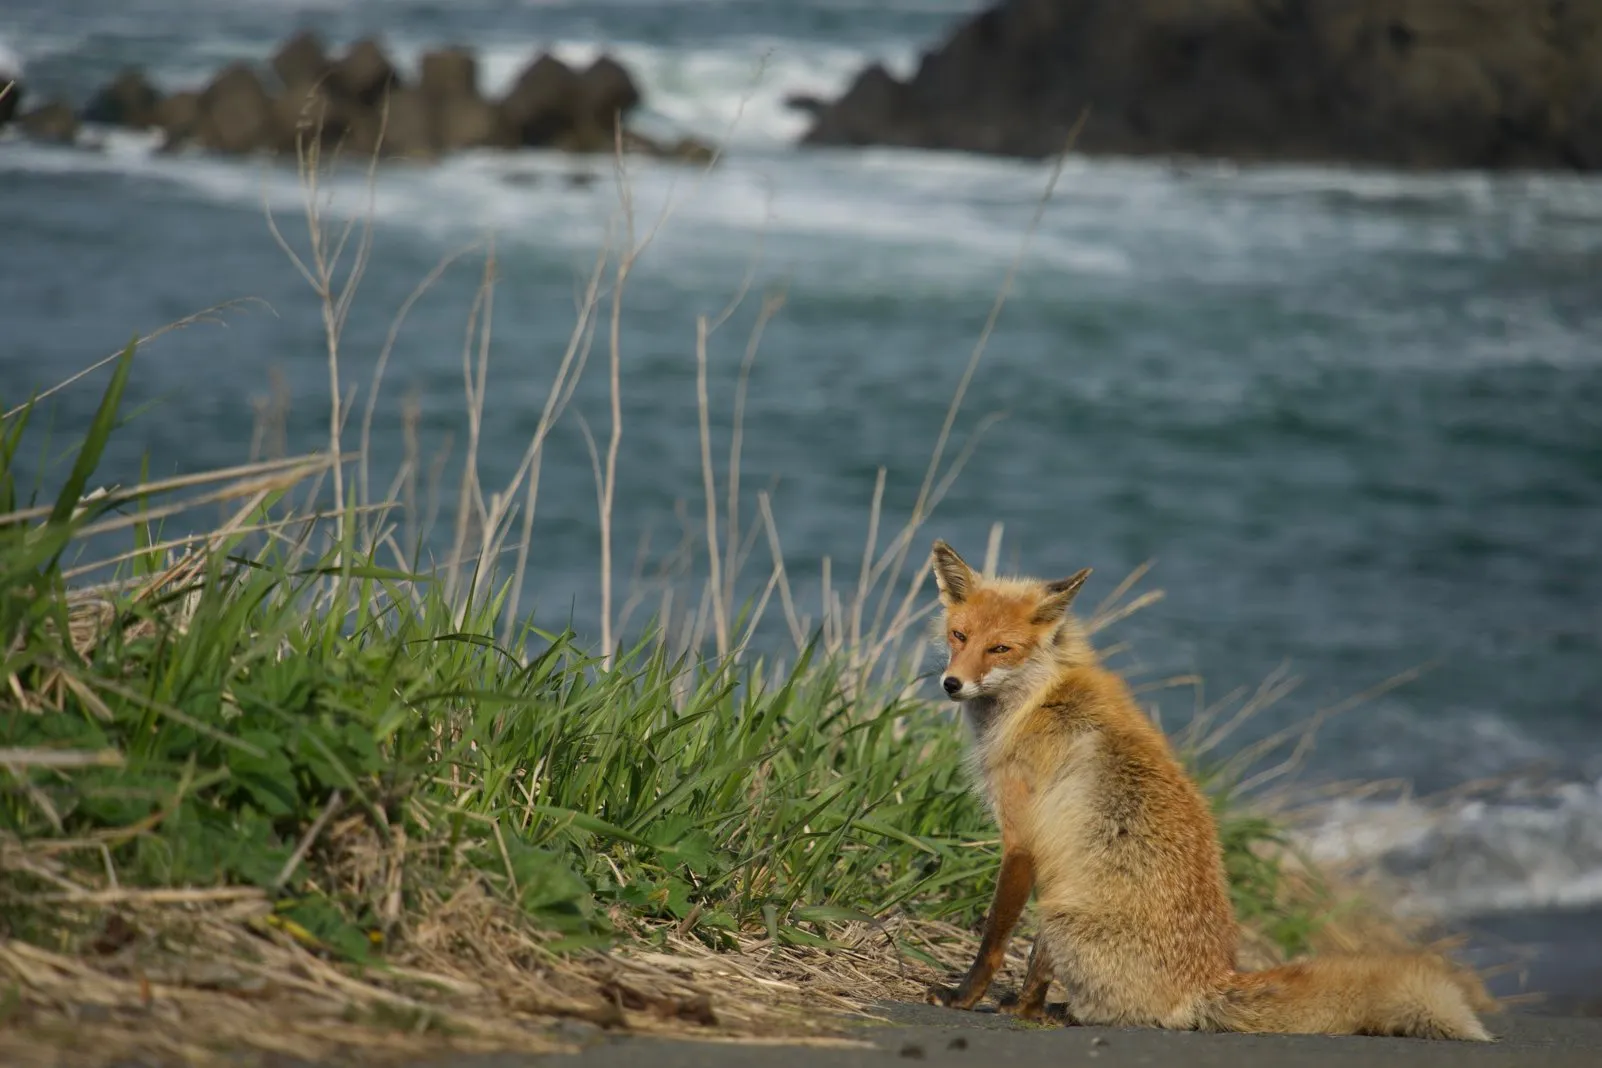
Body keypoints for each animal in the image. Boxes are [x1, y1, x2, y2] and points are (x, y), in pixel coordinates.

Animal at [921, 539, 1495, 1041]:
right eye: (959, 636)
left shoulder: (1022, 839)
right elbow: (1028, 961)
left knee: (1110, 1010)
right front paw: (1010, 1003)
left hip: (1062, 914)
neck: (1037, 698)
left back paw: (1052, 1013)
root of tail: (1210, 980)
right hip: (1062, 903)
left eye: (1001, 648)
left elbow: (994, 939)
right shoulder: (1048, 853)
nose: (952, 684)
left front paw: (963, 998)